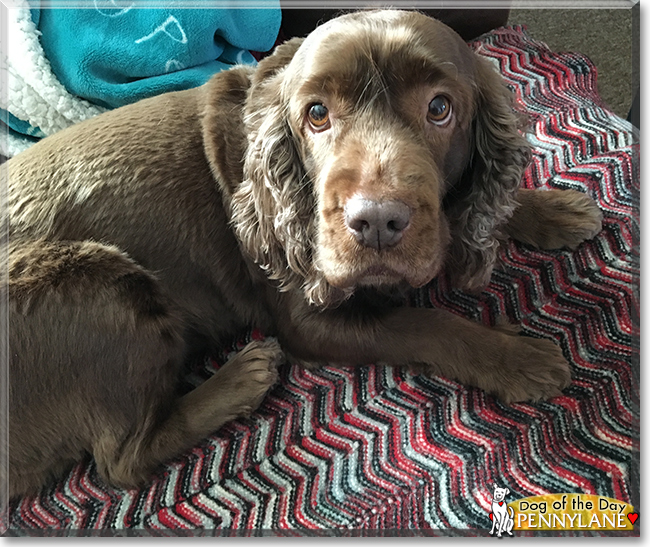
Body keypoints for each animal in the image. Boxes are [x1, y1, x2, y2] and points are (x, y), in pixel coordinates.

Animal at [3, 8, 604, 498]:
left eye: (440, 108)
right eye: (317, 115)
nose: (376, 223)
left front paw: (552, 210)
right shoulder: (310, 317)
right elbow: (428, 324)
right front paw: (518, 358)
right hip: (98, 278)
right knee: (121, 461)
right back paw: (242, 377)